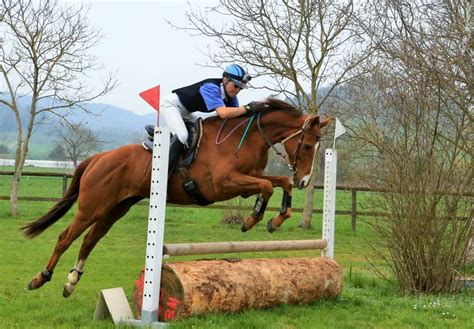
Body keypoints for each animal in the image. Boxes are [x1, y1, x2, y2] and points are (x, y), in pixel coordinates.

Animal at [22, 96, 332, 294]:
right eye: (307, 146)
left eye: (319, 148)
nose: (305, 180)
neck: (244, 138)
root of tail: (97, 158)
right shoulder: (223, 184)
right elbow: (267, 187)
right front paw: (252, 219)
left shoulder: (251, 176)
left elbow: (279, 182)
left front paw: (275, 220)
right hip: (93, 207)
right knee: (65, 237)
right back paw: (39, 278)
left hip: (115, 209)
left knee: (89, 240)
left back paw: (71, 282)